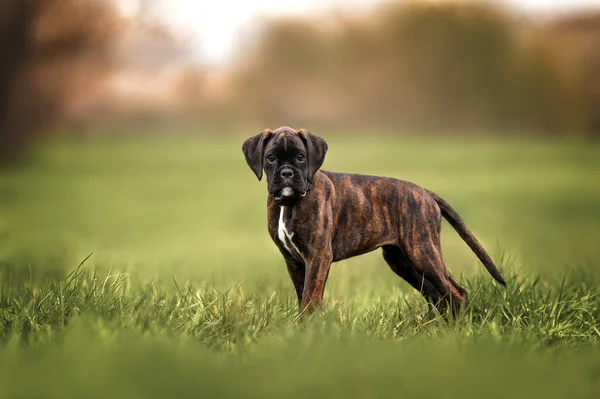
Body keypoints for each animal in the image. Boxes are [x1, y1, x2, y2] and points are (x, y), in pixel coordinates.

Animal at [241, 126, 504, 316]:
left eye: (300, 157)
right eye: (271, 157)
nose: (286, 173)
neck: (291, 203)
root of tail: (426, 193)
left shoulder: (318, 257)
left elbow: (310, 298)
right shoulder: (294, 261)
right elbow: (302, 296)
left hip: (422, 252)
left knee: (455, 293)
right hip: (402, 261)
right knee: (437, 294)